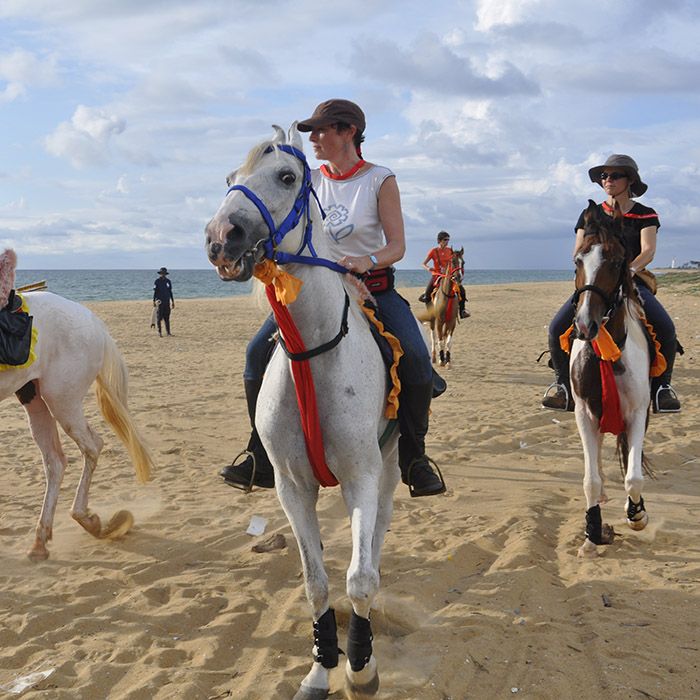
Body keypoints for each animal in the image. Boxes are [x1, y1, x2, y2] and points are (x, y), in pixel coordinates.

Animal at [0, 249, 152, 560]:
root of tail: (95, 323)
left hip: (63, 400)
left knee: (91, 446)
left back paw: (88, 521)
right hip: (34, 397)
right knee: (55, 462)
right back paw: (41, 540)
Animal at [202, 127, 400, 700]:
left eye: (287, 177)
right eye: (230, 179)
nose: (221, 237)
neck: (312, 352)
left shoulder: (361, 477)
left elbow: (359, 579)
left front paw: (361, 667)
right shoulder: (292, 487)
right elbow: (316, 583)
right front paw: (319, 669)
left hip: (390, 468)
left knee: (377, 538)